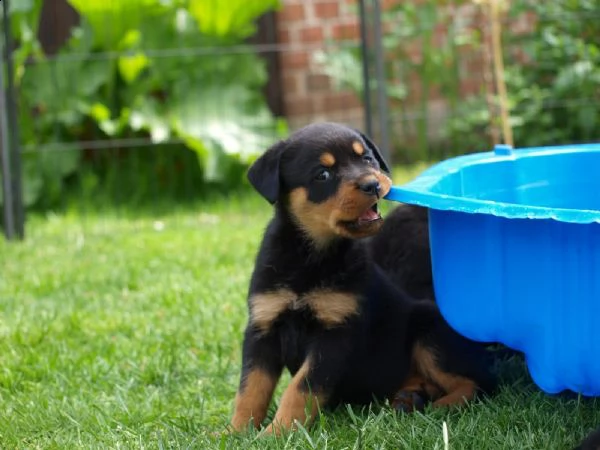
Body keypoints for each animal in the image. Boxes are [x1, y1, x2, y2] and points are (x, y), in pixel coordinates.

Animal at [227, 121, 494, 434]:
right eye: (323, 174)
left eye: (366, 159)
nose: (372, 185)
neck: (311, 255)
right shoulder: (263, 325)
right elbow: (251, 387)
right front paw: (235, 431)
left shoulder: (336, 332)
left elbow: (301, 387)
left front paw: (278, 431)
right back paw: (410, 398)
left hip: (429, 332)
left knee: (477, 383)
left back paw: (442, 406)